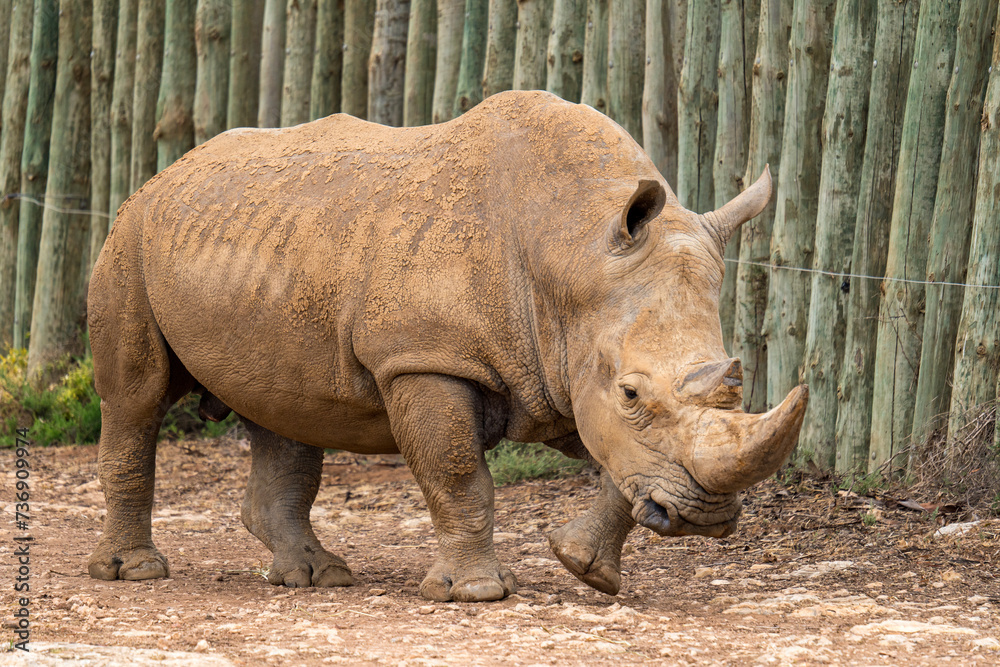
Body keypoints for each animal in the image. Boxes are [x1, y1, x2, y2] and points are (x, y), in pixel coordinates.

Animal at [87, 90, 807, 602]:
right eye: (631, 391)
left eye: (737, 383)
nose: (704, 518)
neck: (572, 253)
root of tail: (169, 171)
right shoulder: (425, 359)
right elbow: (461, 474)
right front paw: (476, 593)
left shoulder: (570, 365)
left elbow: (623, 465)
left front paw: (585, 568)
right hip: (131, 237)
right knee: (135, 400)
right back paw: (134, 573)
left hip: (258, 243)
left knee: (282, 410)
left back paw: (317, 577)